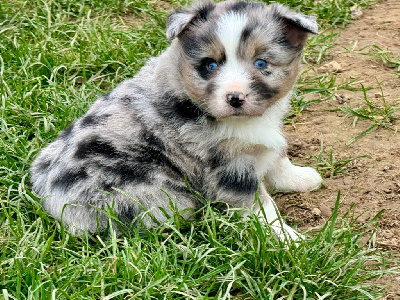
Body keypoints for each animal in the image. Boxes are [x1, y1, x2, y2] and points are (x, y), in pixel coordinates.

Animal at [30, 0, 322, 239]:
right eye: (210, 65)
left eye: (261, 63)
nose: (234, 98)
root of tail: (50, 202)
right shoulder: (229, 168)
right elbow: (261, 207)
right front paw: (285, 238)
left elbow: (278, 160)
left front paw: (302, 179)